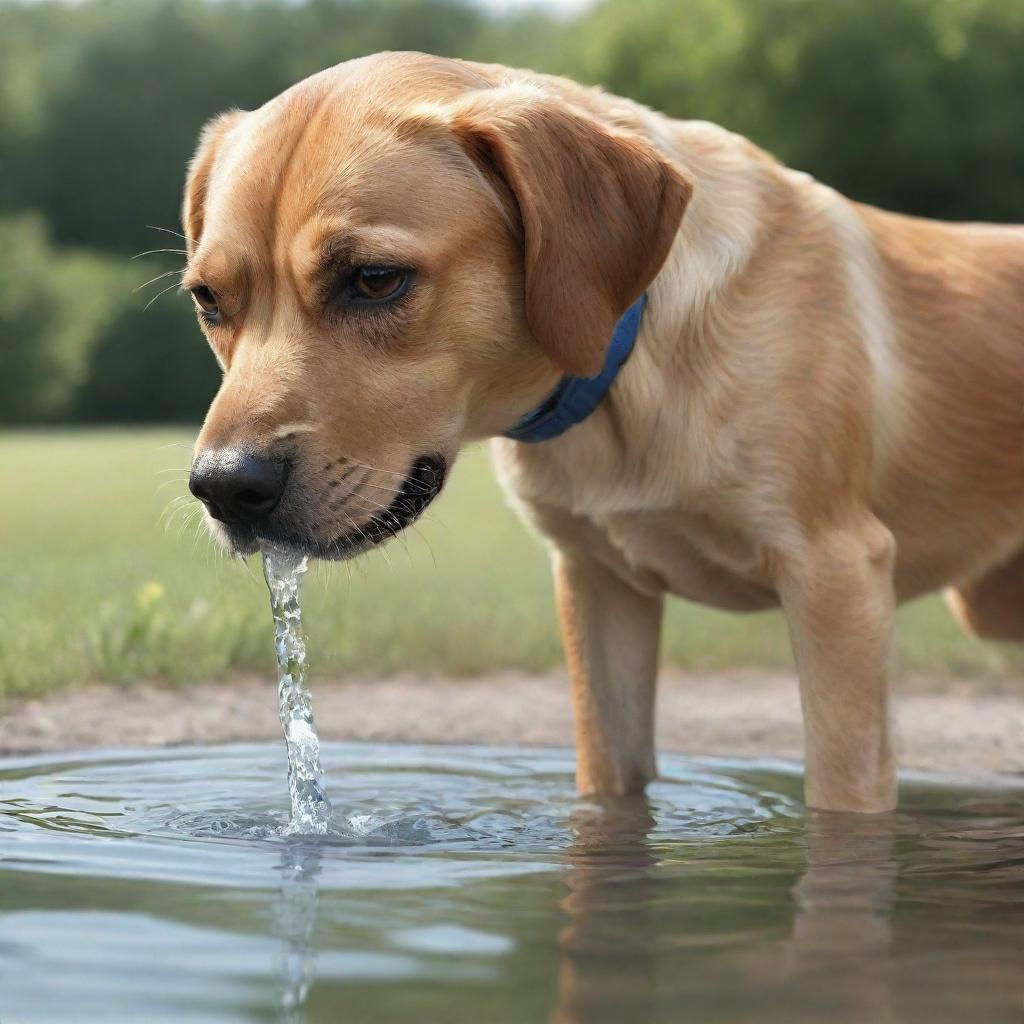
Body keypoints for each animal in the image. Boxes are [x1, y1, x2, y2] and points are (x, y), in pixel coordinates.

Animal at [184, 51, 1024, 811]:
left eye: (375, 279)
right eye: (208, 299)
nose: (224, 487)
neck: (623, 380)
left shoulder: (836, 577)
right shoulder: (599, 585)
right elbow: (609, 779)